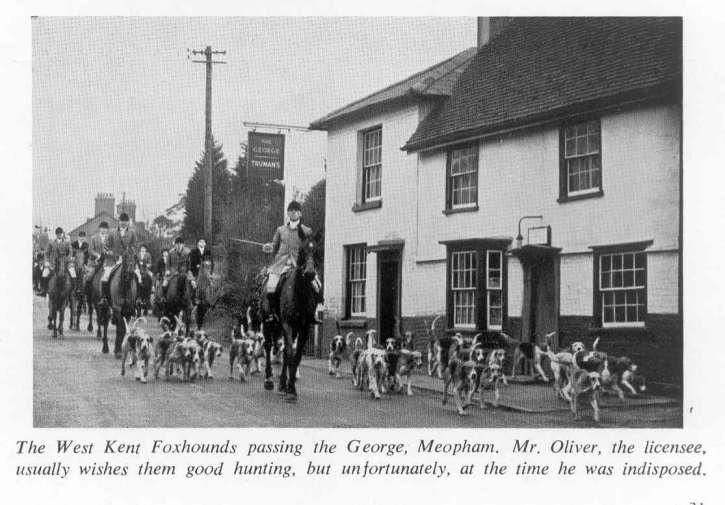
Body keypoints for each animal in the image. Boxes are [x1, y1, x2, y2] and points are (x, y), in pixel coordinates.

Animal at [258, 234, 318, 404]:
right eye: (302, 249)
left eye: (316, 249)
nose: (310, 273)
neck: (299, 293)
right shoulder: (287, 325)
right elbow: (290, 354)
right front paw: (291, 390)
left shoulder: (304, 328)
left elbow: (295, 357)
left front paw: (290, 388)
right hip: (267, 323)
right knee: (268, 346)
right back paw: (269, 380)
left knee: (283, 351)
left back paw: (282, 384)